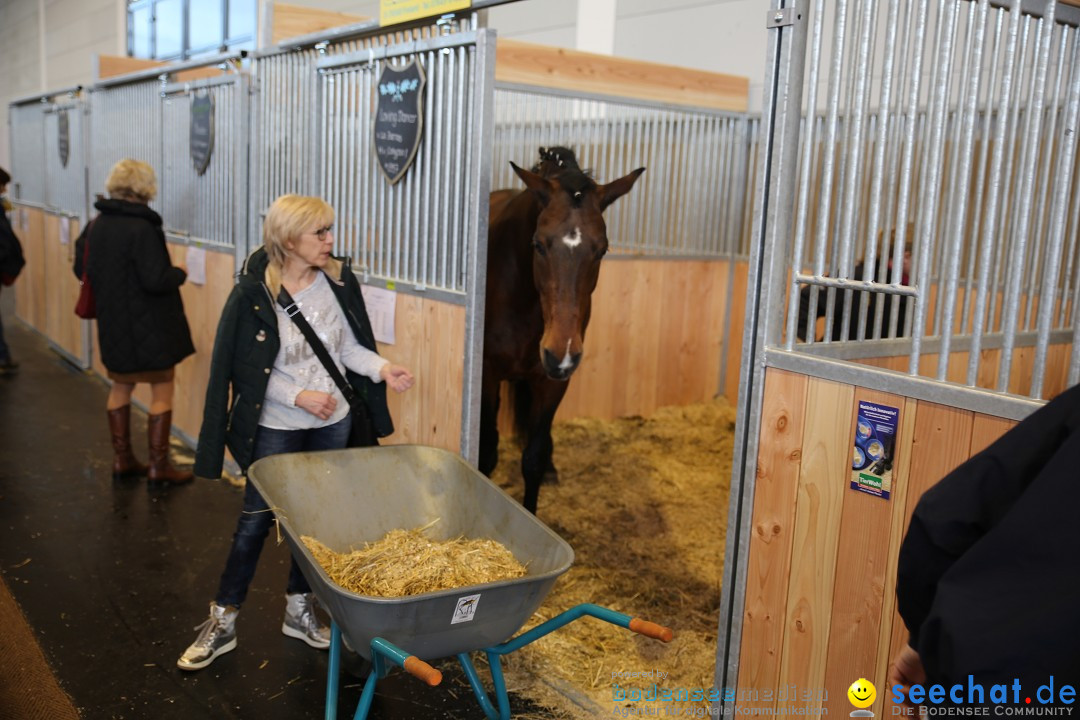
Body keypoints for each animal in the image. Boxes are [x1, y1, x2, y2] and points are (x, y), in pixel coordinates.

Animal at [479, 148, 639, 515]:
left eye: (602, 250)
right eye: (538, 245)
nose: (560, 354)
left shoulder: (553, 382)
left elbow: (533, 459)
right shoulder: (488, 374)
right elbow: (488, 451)